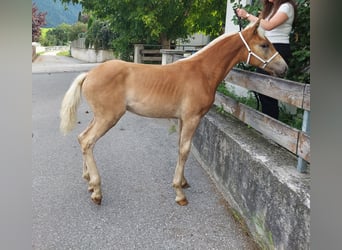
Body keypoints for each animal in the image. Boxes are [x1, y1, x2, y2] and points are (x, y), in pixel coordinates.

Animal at [60, 20, 288, 205]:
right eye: (264, 45)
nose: (284, 68)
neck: (202, 72)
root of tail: (89, 74)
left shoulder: (182, 119)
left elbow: (181, 147)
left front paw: (184, 182)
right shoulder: (192, 118)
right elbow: (185, 150)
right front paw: (179, 193)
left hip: (99, 116)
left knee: (82, 138)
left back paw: (89, 181)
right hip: (108, 117)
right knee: (88, 141)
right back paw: (97, 190)